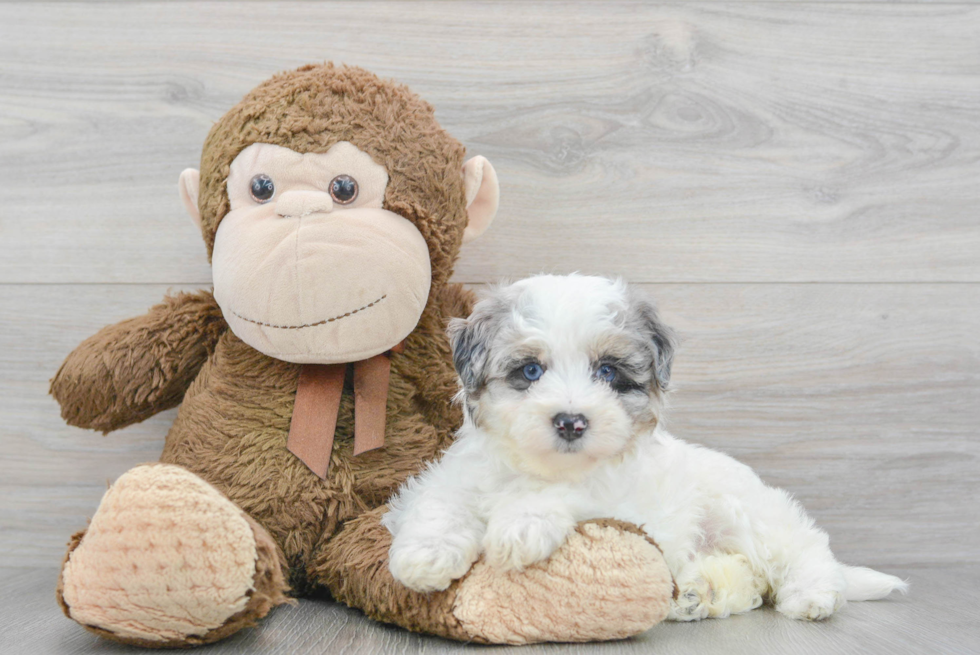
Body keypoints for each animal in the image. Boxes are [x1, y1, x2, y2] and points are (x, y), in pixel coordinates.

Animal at [384, 274, 912, 624]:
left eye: (608, 372)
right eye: (530, 371)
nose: (572, 422)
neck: (542, 467)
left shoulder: (615, 495)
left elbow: (563, 496)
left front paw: (521, 524)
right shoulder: (452, 475)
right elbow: (441, 502)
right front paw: (425, 556)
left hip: (746, 511)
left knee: (801, 548)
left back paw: (811, 596)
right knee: (747, 579)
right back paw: (699, 593)